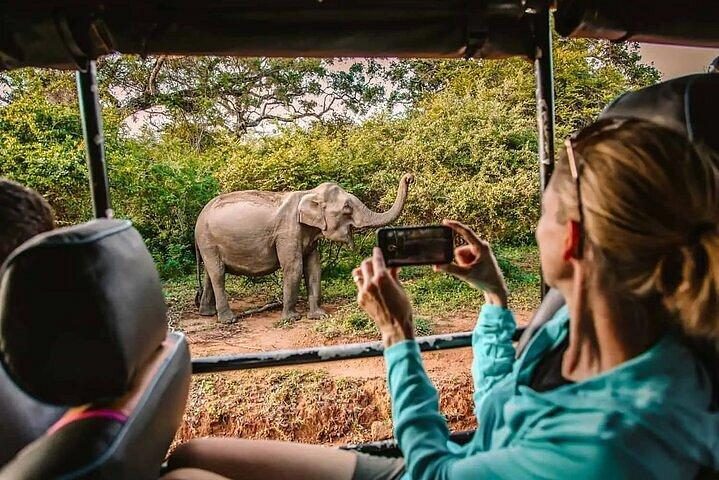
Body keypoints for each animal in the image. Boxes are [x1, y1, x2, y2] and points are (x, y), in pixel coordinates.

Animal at [194, 173, 414, 323]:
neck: (309, 193)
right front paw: (292, 319)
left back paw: (207, 313)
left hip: (207, 243)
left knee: (210, 274)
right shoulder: (287, 232)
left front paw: (319, 315)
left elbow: (313, 267)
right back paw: (228, 320)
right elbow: (294, 267)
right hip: (208, 241)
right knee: (218, 274)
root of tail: (199, 218)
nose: (409, 177)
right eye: (347, 208)